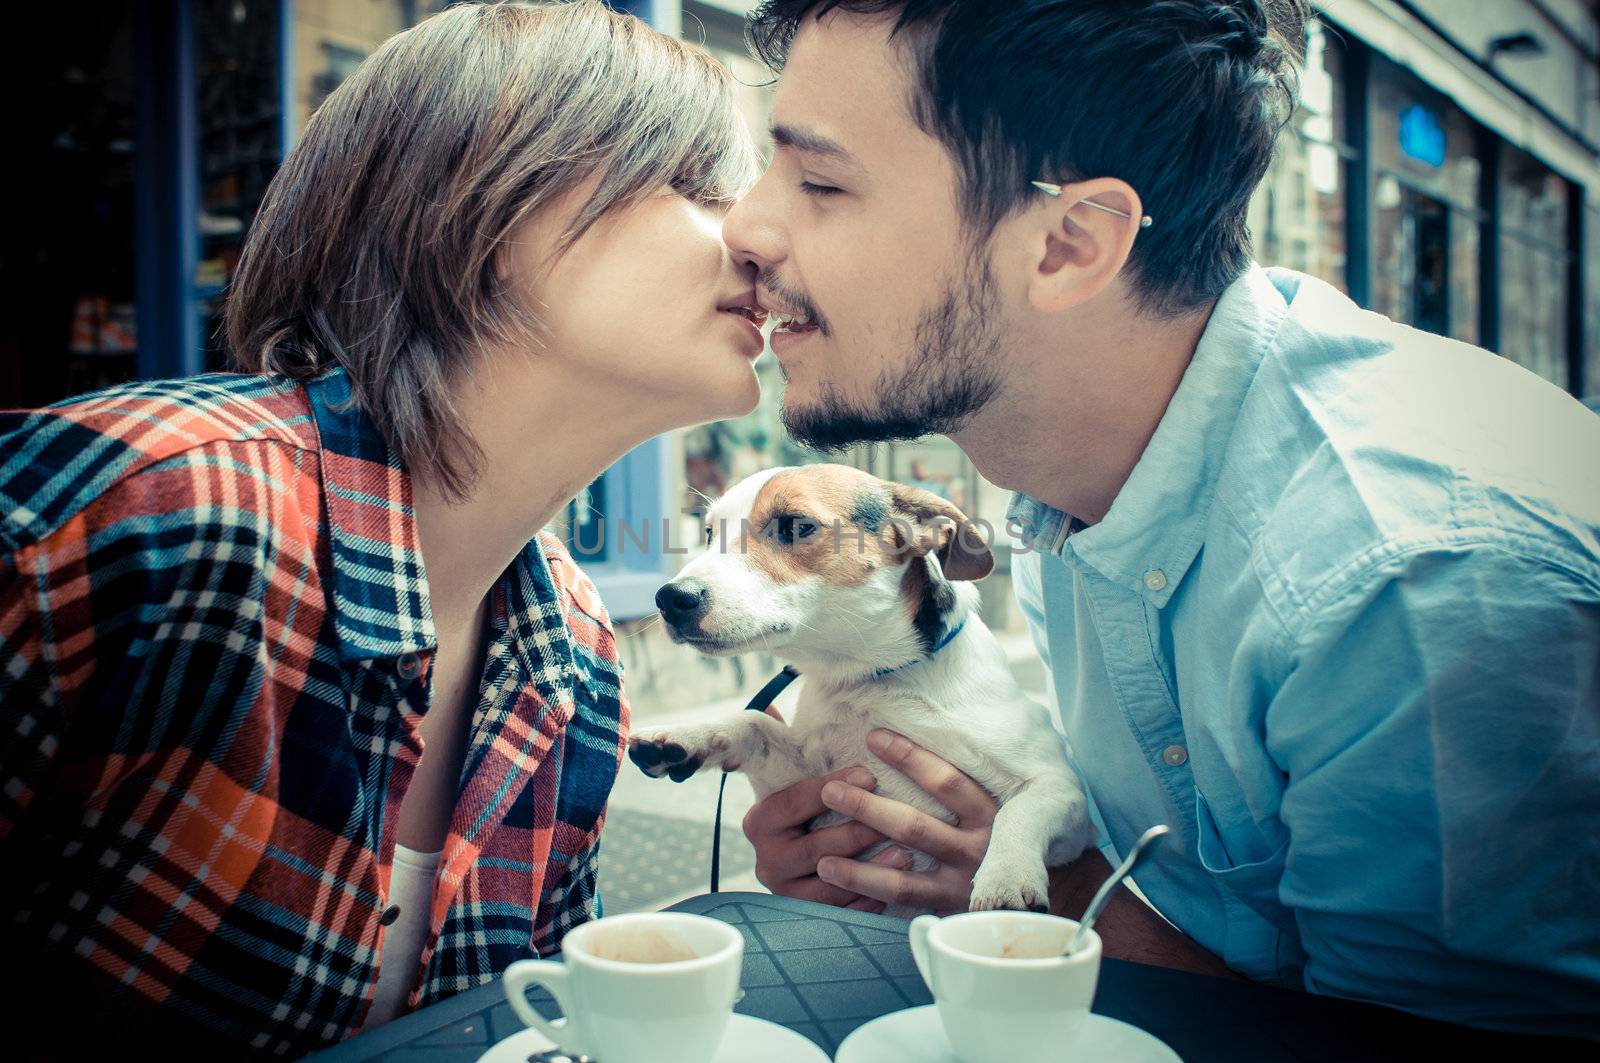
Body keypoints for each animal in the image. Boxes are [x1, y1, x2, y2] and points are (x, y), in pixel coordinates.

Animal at [627, 464, 1100, 915]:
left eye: (794, 527)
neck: (871, 683)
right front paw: (685, 737)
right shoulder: (804, 784)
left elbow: (1019, 811)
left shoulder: (1064, 793)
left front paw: (1004, 878)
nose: (670, 598)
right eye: (708, 533)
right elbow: (753, 723)